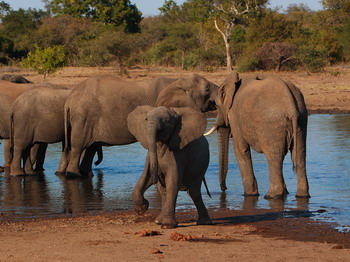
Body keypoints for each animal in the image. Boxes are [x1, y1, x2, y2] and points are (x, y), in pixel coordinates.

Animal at [63, 73, 217, 177]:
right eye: (207, 89)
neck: (177, 81)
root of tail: (70, 98)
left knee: (90, 149)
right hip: (83, 117)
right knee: (78, 147)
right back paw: (74, 175)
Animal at [206, 71, 310, 199]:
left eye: (217, 106)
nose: (224, 189)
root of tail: (291, 108)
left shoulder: (234, 114)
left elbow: (240, 149)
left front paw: (249, 194)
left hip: (272, 124)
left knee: (274, 157)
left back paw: (271, 196)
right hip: (301, 119)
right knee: (300, 154)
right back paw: (301, 196)